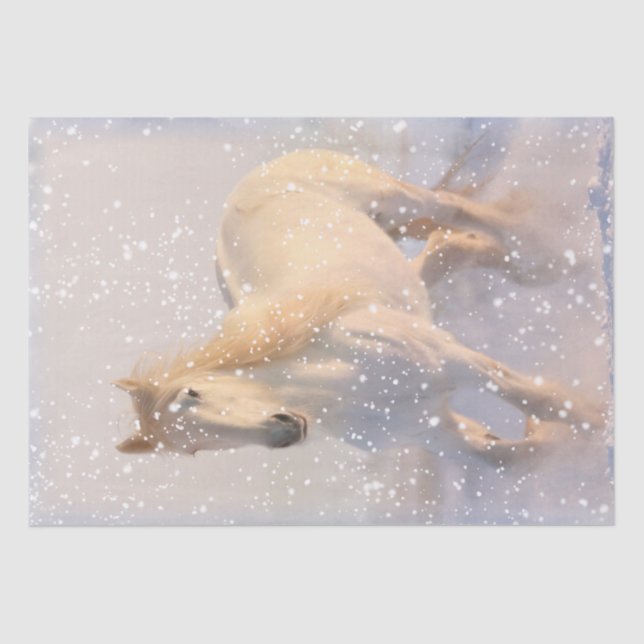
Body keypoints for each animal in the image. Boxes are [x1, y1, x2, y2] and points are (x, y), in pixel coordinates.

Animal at [113, 148, 604, 468]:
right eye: (193, 450)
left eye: (193, 393)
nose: (283, 430)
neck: (341, 386)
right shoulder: (439, 432)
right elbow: (515, 456)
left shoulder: (453, 360)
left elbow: (545, 401)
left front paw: (601, 421)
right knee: (446, 249)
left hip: (392, 200)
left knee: (454, 209)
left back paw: (549, 250)